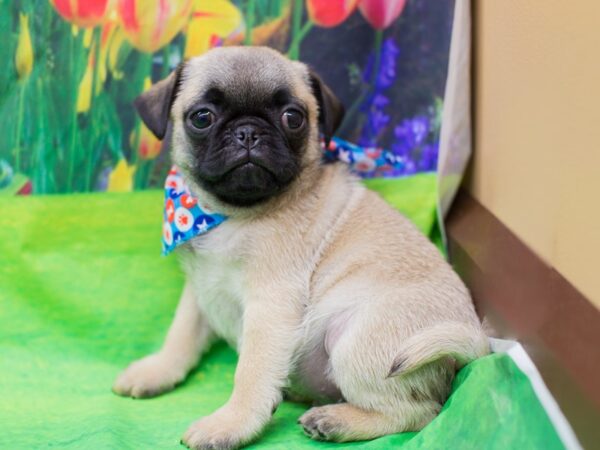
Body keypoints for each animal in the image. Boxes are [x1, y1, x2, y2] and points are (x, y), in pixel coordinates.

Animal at [112, 47, 488, 448]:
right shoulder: (201, 289)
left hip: (355, 344)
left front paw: (230, 424)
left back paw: (335, 420)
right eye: (202, 117)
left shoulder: (270, 305)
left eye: (293, 118)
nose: (248, 131)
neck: (232, 215)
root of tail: (472, 344)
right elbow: (180, 334)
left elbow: (250, 372)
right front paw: (157, 371)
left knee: (420, 413)